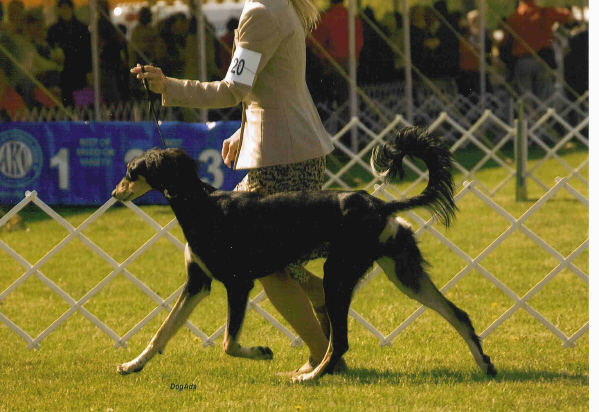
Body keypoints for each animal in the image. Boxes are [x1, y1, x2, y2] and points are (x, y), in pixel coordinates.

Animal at [112, 127, 496, 382]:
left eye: (131, 171)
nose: (116, 193)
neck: (204, 207)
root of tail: (378, 204)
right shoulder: (197, 283)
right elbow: (163, 331)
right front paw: (134, 365)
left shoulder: (238, 284)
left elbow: (228, 343)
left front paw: (260, 352)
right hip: (403, 274)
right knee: (458, 314)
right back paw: (485, 364)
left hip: (338, 276)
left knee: (339, 342)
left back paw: (310, 377)